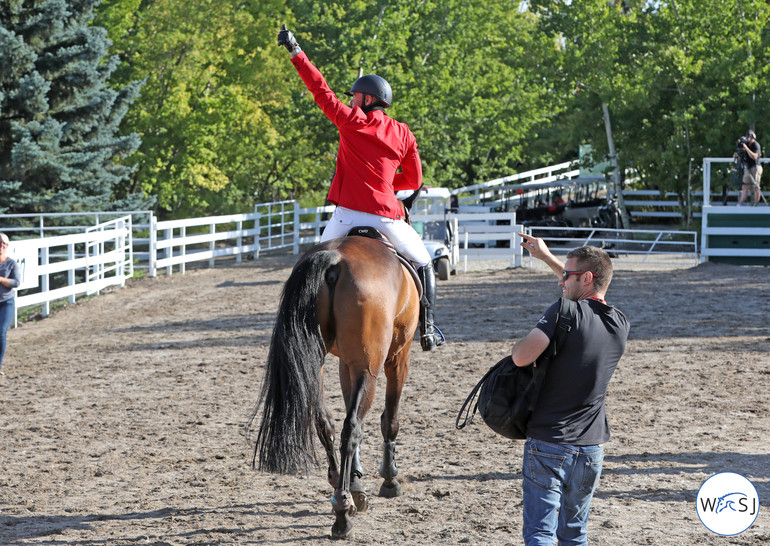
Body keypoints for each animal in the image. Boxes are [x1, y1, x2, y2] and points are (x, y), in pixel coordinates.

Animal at [250, 233, 420, 536]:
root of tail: (335, 257)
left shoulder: (345, 364)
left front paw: (356, 478)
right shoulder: (399, 357)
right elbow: (390, 420)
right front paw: (389, 480)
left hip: (314, 363)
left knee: (325, 423)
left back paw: (341, 486)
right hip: (370, 368)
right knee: (351, 429)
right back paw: (342, 512)